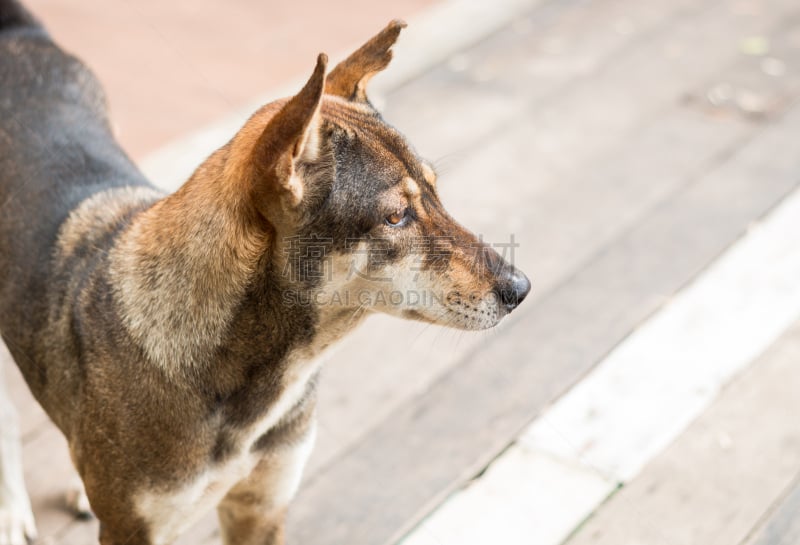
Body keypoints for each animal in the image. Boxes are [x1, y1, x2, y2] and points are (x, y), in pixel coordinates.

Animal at [0, 2, 532, 540]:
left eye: (435, 193)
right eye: (395, 216)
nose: (521, 289)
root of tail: (17, 32)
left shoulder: (263, 504)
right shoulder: (136, 530)